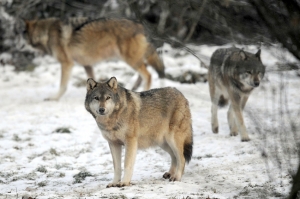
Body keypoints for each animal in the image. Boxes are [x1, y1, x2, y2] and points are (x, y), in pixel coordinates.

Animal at [18, 17, 164, 100]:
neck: (46, 33)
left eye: (22, 37)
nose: (16, 46)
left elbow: (62, 85)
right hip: (134, 60)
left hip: (130, 60)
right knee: (144, 73)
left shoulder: (67, 63)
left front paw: (54, 98)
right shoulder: (87, 65)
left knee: (148, 75)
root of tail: (140, 26)